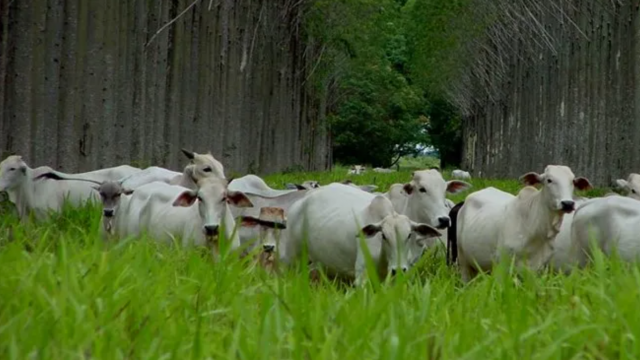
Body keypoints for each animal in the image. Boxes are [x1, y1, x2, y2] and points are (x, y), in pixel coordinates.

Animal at [282, 183, 442, 286]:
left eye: (409, 235)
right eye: (384, 236)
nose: (397, 269)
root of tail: (301, 201)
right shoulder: (361, 278)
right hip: (291, 258)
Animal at [452, 165, 592, 282]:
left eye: (573, 181)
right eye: (549, 180)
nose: (567, 203)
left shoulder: (535, 269)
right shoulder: (501, 266)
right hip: (463, 261)